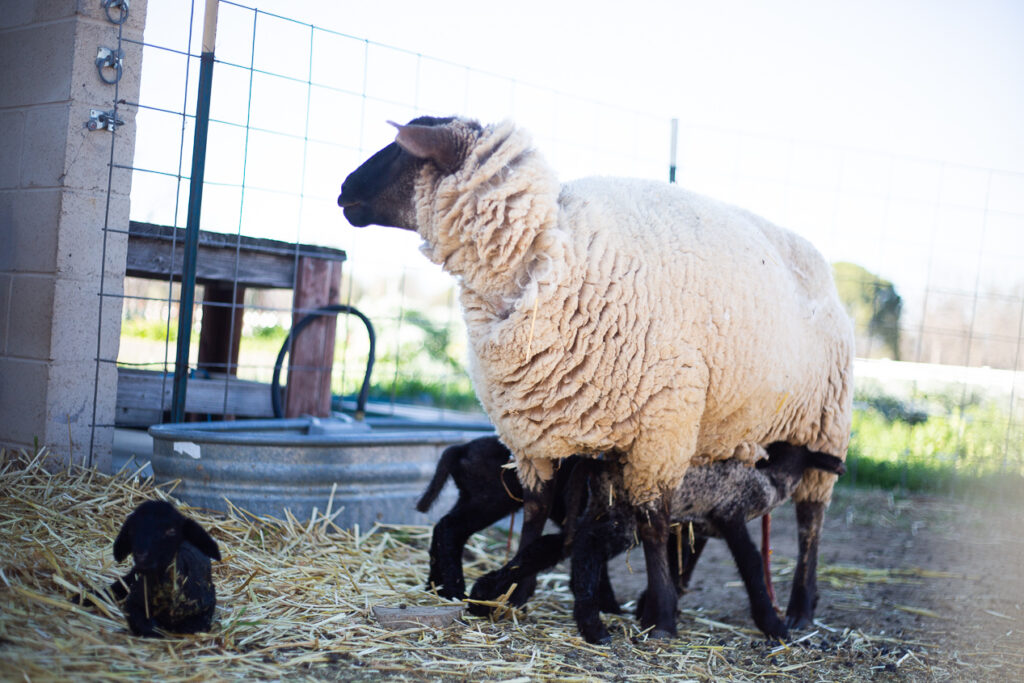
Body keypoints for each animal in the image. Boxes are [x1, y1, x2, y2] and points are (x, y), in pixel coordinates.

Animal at [337, 116, 856, 634]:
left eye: (402, 150)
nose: (343, 191)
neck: (547, 262)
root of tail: (818, 260)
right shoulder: (538, 436)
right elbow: (537, 514)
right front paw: (516, 591)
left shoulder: (660, 431)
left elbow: (651, 523)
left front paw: (662, 620)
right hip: (719, 434)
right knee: (703, 519)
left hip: (824, 426)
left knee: (810, 521)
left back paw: (798, 606)